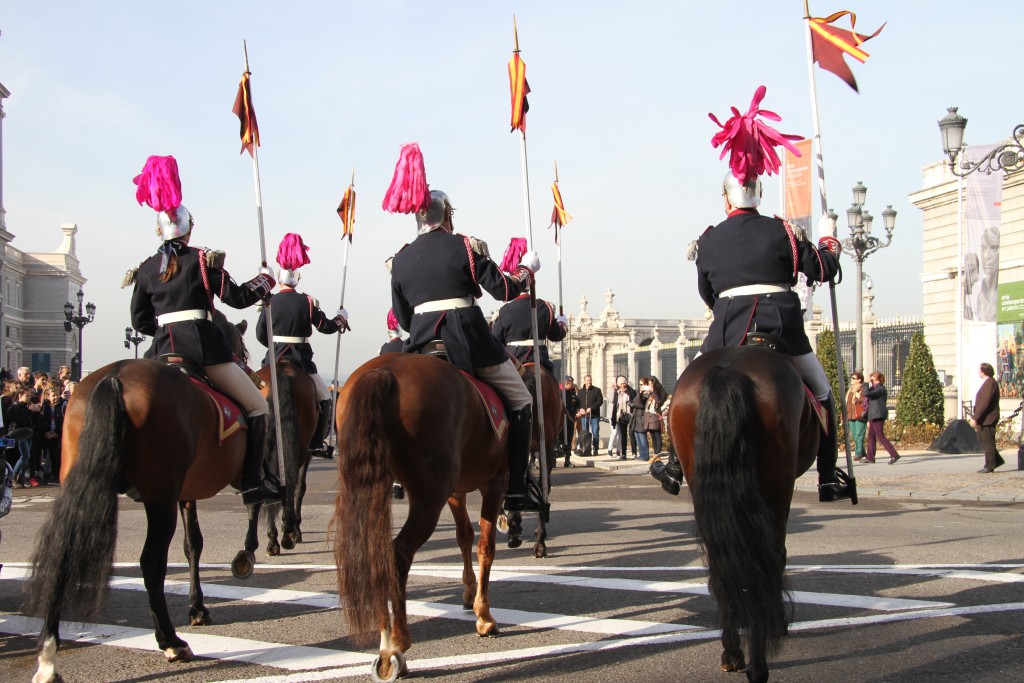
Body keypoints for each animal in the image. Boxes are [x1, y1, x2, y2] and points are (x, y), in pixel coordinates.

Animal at [25, 317, 270, 679]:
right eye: (242, 349)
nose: (249, 370)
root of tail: (115, 376)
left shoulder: (186, 491)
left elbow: (193, 544)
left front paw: (198, 607)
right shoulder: (235, 476)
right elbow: (254, 500)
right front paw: (245, 555)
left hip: (80, 482)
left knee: (63, 554)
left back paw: (48, 658)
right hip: (159, 498)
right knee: (152, 563)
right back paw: (171, 642)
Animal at [331, 352, 516, 683]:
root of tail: (384, 371)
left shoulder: (456, 490)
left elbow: (464, 536)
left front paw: (469, 594)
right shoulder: (495, 481)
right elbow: (486, 547)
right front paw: (484, 616)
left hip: (374, 484)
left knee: (377, 555)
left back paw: (384, 642)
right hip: (429, 497)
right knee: (399, 553)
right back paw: (396, 643)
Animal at [667, 348, 819, 683]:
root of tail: (729, 368)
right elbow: (778, 557)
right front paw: (778, 624)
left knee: (722, 567)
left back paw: (733, 654)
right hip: (776, 486)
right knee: (763, 562)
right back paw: (758, 665)